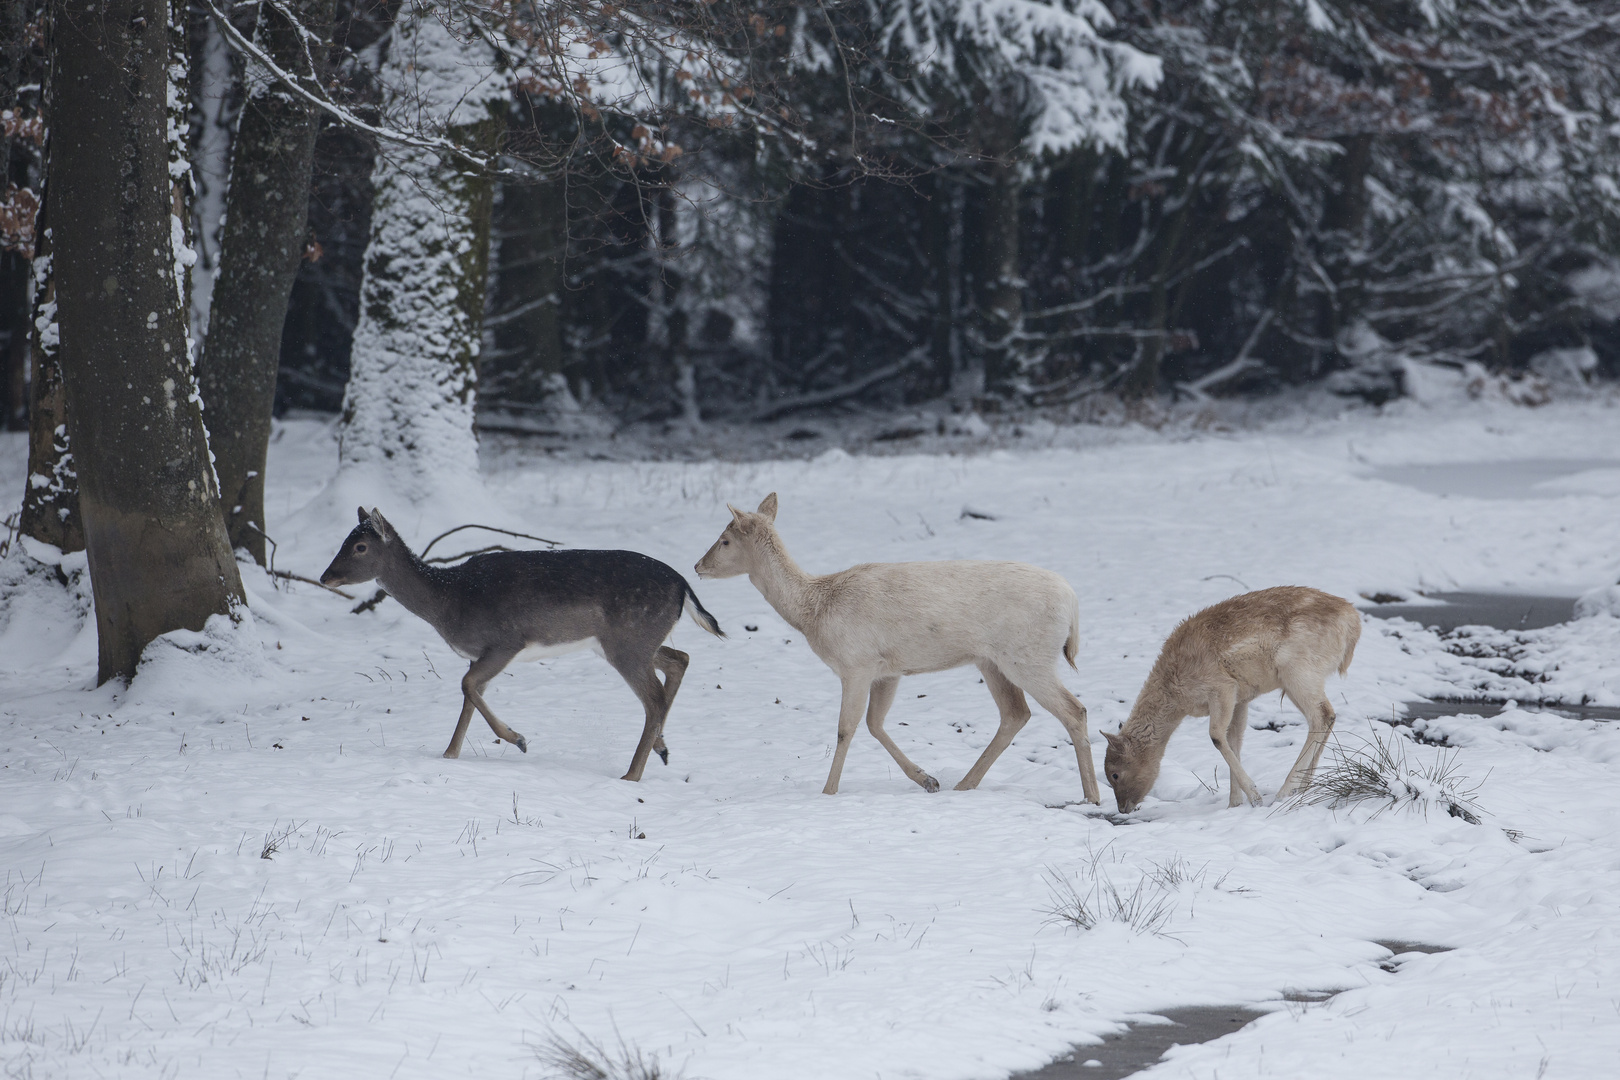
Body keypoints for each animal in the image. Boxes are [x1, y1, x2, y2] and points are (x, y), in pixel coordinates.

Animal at [320, 508, 722, 777]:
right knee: (680, 659)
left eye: (359, 546)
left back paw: (632, 774)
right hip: (632, 641)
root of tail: (684, 586)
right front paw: (450, 755)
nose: (325, 577)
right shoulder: (479, 653)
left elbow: (467, 686)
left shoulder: (505, 641)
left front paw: (517, 739)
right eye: (343, 540)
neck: (449, 599)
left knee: (654, 697)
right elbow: (468, 696)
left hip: (628, 642)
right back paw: (662, 748)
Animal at [696, 495, 1101, 799]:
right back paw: (964, 784)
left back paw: (1091, 795)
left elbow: (846, 727)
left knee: (1073, 710)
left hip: (1028, 655)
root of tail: (1073, 603)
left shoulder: (855, 663)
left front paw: (828, 791)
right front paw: (927, 779)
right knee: (1016, 714)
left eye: (725, 540)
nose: (698, 565)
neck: (815, 611)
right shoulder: (887, 670)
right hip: (992, 661)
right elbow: (875, 723)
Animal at [1101, 586, 1367, 816]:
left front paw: (1255, 797)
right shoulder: (1241, 699)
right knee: (1328, 716)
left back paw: (1284, 792)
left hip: (1298, 670)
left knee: (1320, 715)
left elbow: (1216, 736)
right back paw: (1304, 788)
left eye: (1114, 774)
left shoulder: (1223, 687)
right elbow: (1234, 740)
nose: (1123, 808)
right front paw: (1234, 804)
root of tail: (1353, 622)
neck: (1178, 697)